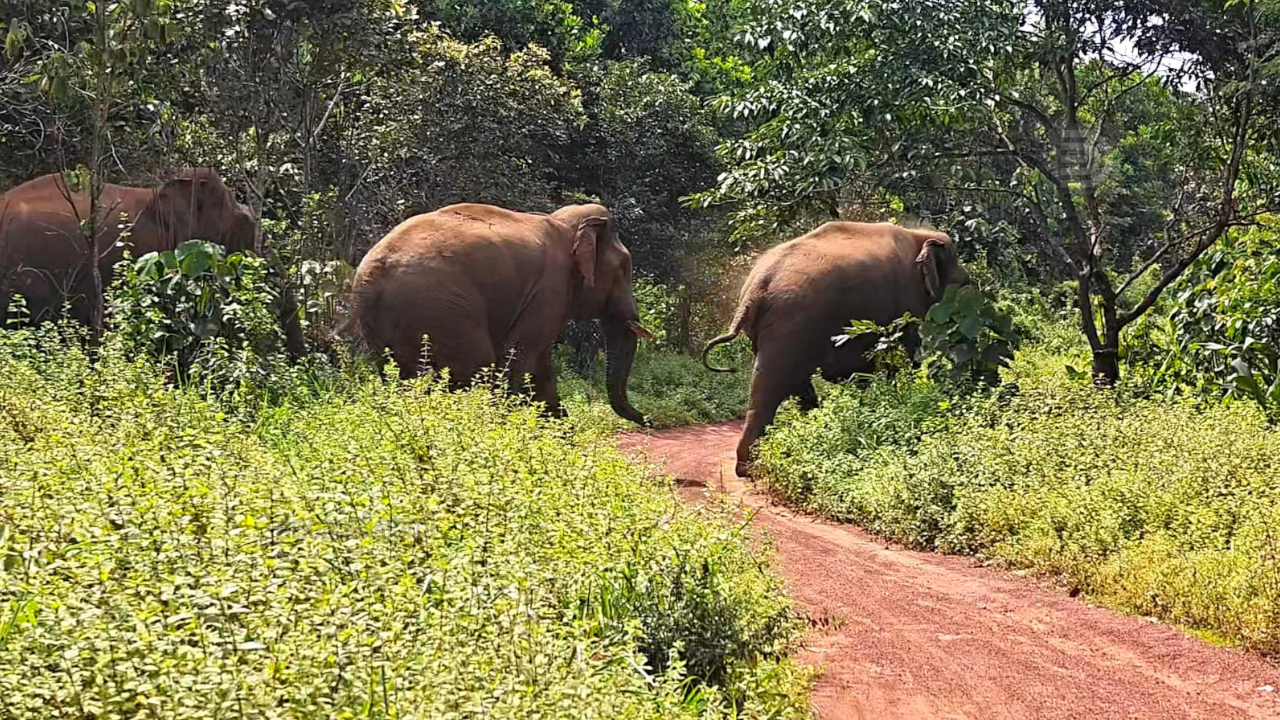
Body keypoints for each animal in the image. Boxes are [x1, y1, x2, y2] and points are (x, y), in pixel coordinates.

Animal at [346, 202, 654, 424]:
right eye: (624, 268)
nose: (649, 419)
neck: (564, 224)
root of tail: (372, 275)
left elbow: (540, 372)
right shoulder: (548, 290)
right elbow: (521, 361)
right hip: (443, 310)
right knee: (477, 368)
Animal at [701, 221, 970, 477]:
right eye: (963, 285)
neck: (918, 234)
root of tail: (757, 286)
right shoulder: (906, 302)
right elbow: (903, 359)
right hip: (792, 324)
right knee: (774, 382)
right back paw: (751, 467)